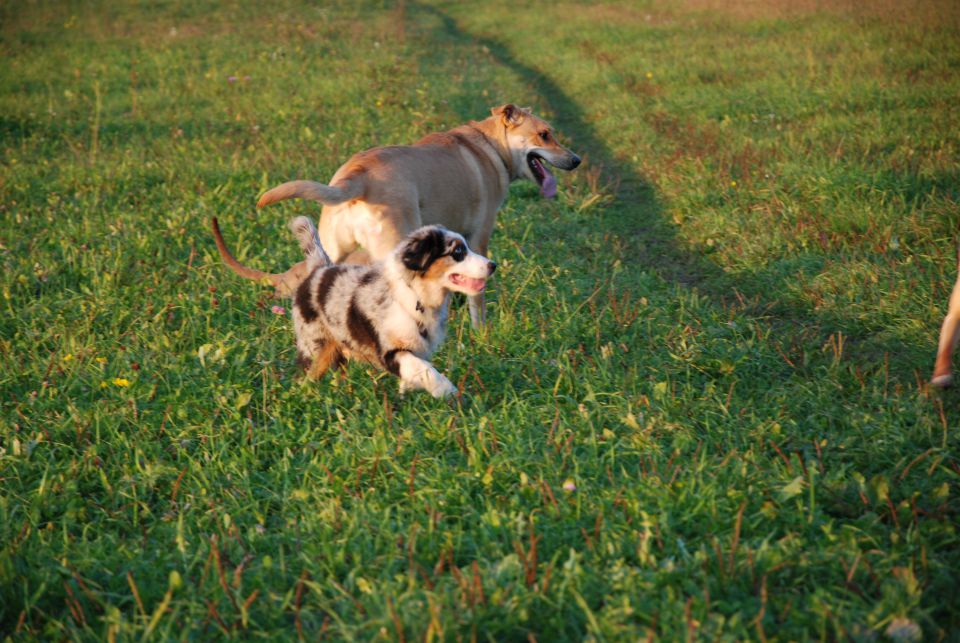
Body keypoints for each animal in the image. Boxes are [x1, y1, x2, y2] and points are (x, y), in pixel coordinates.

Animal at [255, 105, 580, 330]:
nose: (576, 160)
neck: (493, 148)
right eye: (544, 134)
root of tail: (356, 178)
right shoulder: (479, 238)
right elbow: (477, 299)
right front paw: (481, 334)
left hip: (331, 249)